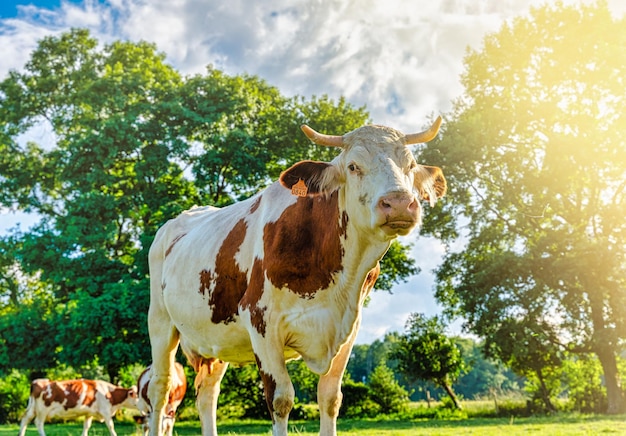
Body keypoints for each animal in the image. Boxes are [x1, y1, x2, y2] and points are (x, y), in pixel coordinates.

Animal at [146, 116, 444, 436]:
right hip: (160, 322)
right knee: (160, 389)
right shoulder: (261, 321)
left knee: (207, 394)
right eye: (353, 166)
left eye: (410, 165)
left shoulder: (349, 329)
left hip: (215, 337)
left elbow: (330, 398)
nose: (399, 203)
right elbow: (281, 400)